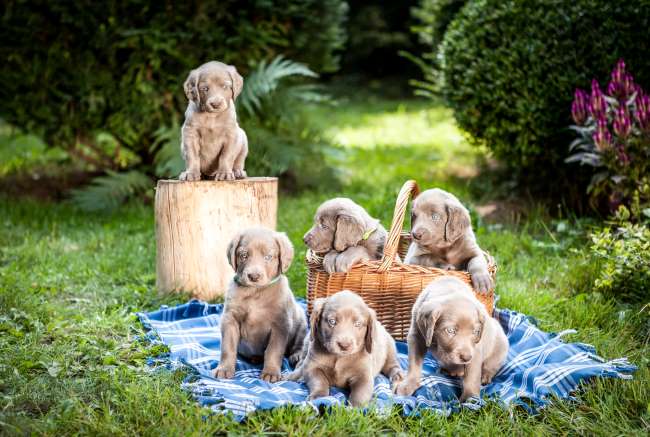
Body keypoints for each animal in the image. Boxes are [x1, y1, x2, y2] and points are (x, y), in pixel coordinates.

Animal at [213, 228, 304, 382]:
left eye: (268, 257)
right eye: (243, 255)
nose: (253, 276)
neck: (255, 292)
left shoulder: (280, 324)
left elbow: (273, 350)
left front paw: (271, 372)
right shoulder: (230, 319)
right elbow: (227, 347)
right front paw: (224, 369)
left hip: (300, 322)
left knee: (299, 343)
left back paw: (296, 355)